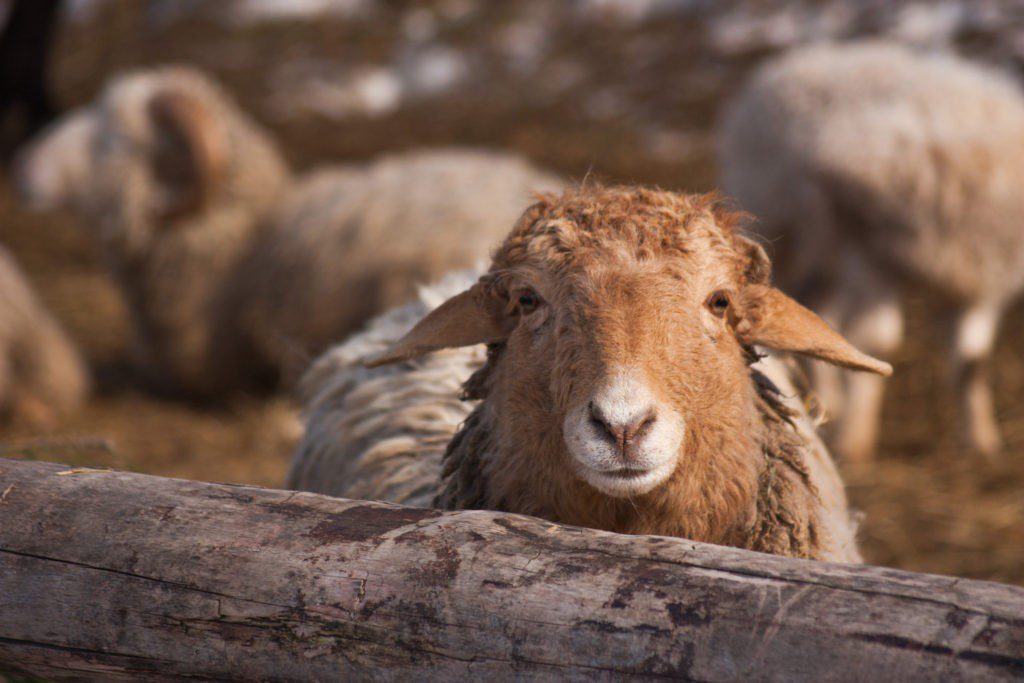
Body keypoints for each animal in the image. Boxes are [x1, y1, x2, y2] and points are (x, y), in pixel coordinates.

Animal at [716, 41, 1024, 458]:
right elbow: (877, 341)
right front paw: (856, 439)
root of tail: (801, 58)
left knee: (819, 307)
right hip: (790, 230)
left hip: (827, 250)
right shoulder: (872, 255)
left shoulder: (983, 281)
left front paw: (981, 438)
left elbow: (972, 362)